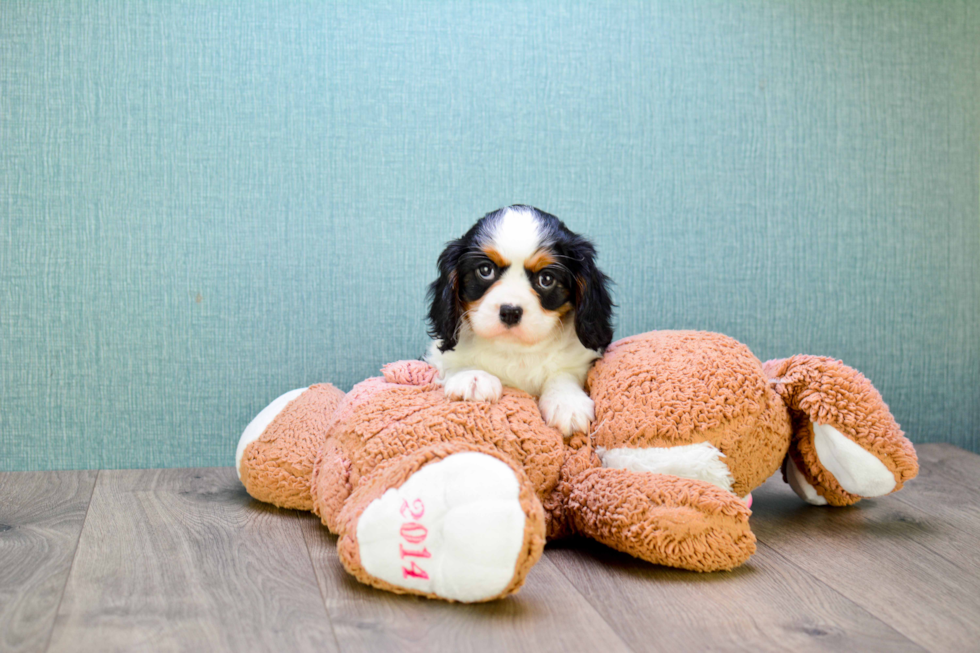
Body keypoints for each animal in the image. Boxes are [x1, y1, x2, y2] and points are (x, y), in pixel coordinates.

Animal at [424, 206, 608, 436]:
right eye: (485, 270)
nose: (510, 311)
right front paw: (473, 377)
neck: (514, 349)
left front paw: (567, 401)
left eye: (546, 279)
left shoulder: (578, 361)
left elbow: (563, 374)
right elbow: (454, 361)